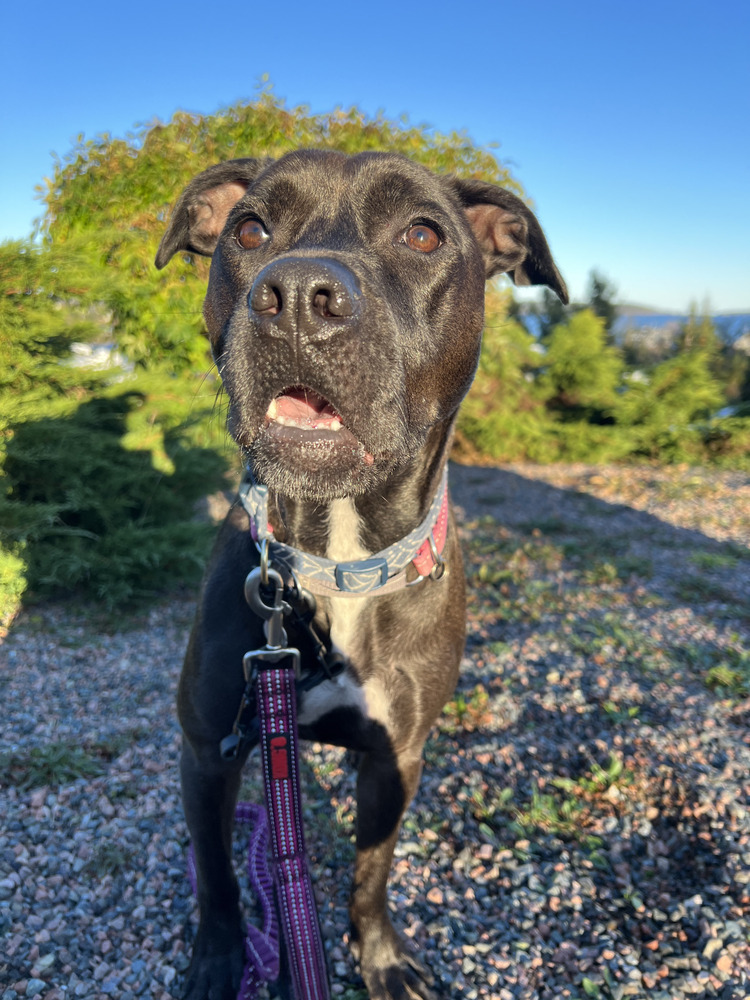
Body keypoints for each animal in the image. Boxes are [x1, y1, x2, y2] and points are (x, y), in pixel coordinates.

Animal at [157, 150, 568, 1000]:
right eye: (250, 229)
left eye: (423, 234)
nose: (296, 298)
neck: (336, 558)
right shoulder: (206, 749)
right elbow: (216, 876)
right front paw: (217, 961)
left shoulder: (397, 757)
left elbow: (371, 869)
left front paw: (379, 956)